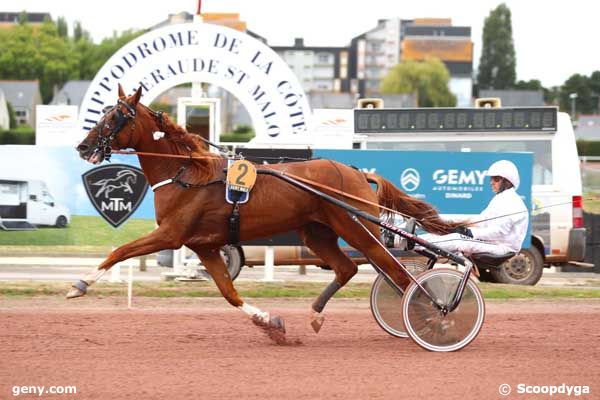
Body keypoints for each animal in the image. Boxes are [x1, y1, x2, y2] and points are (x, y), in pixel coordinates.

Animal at [68, 84, 458, 340]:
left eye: (115, 117)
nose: (83, 146)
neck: (187, 173)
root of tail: (358, 172)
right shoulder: (204, 245)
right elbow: (229, 293)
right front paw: (271, 324)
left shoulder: (171, 235)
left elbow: (120, 251)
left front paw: (79, 285)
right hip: (317, 232)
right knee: (348, 268)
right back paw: (316, 315)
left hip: (357, 228)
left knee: (399, 274)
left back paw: (431, 314)